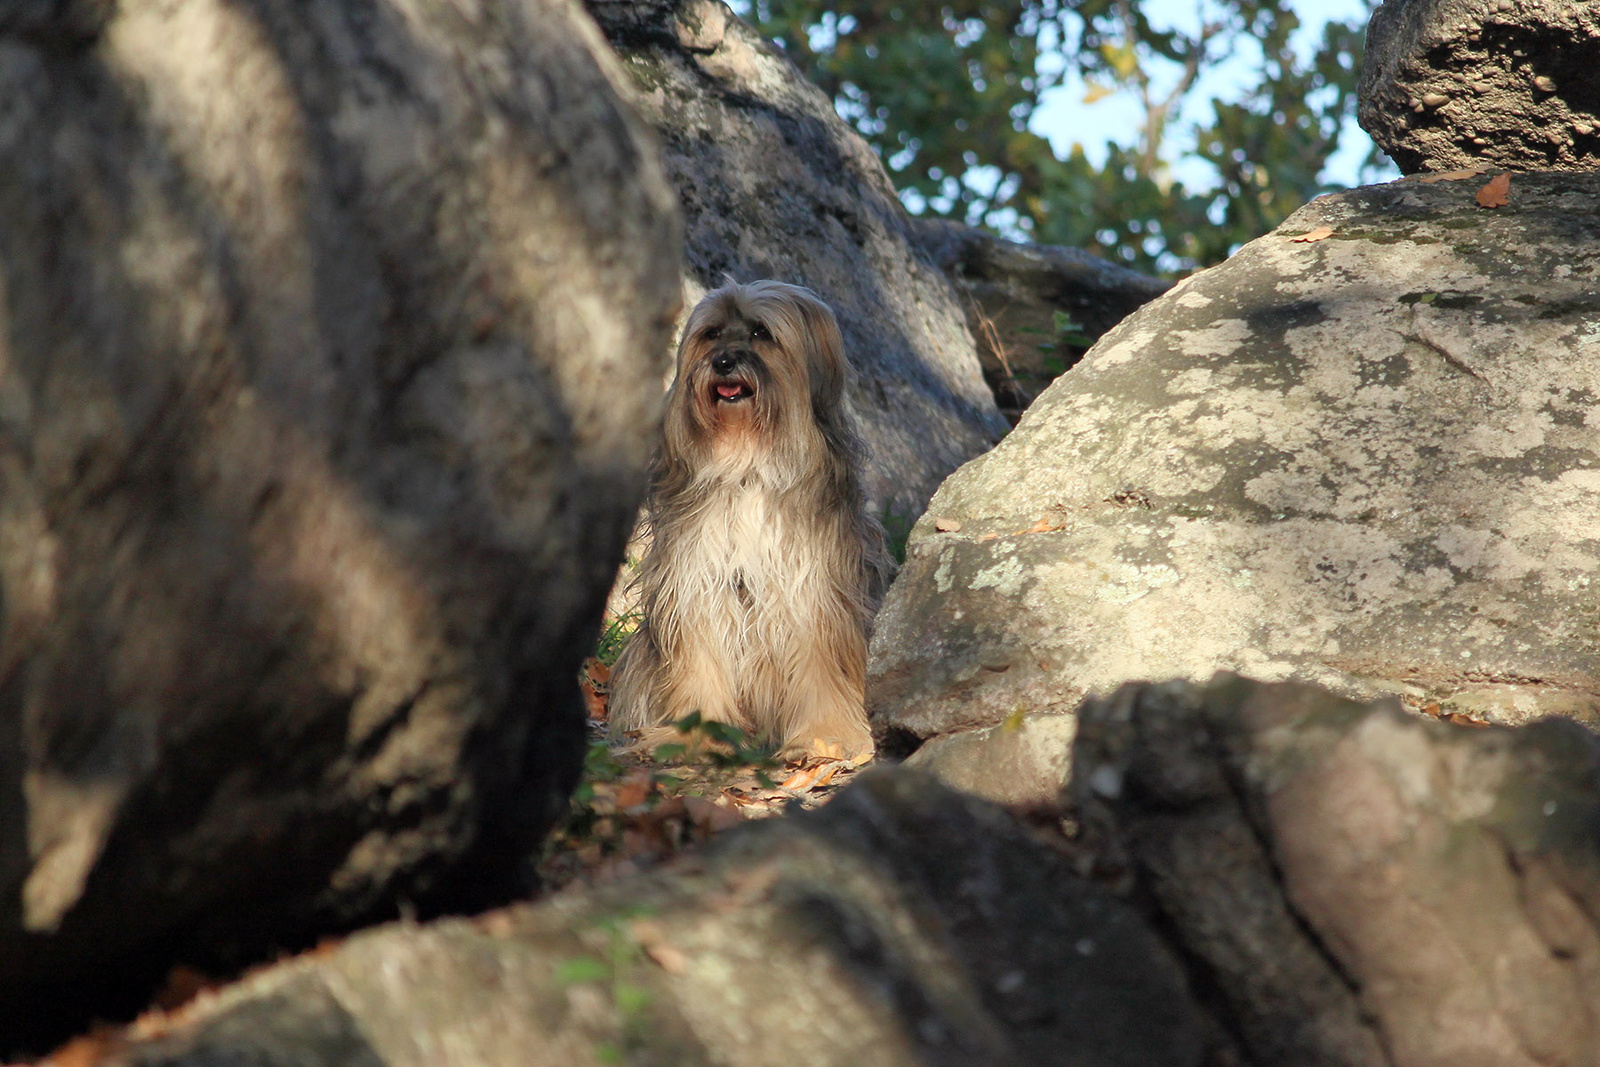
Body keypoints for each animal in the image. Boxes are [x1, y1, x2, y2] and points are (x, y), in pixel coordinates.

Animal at [608, 275, 896, 758]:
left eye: (761, 332)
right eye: (711, 334)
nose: (723, 362)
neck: (747, 465)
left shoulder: (813, 591)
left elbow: (821, 664)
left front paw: (825, 736)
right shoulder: (697, 584)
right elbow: (700, 660)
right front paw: (698, 734)